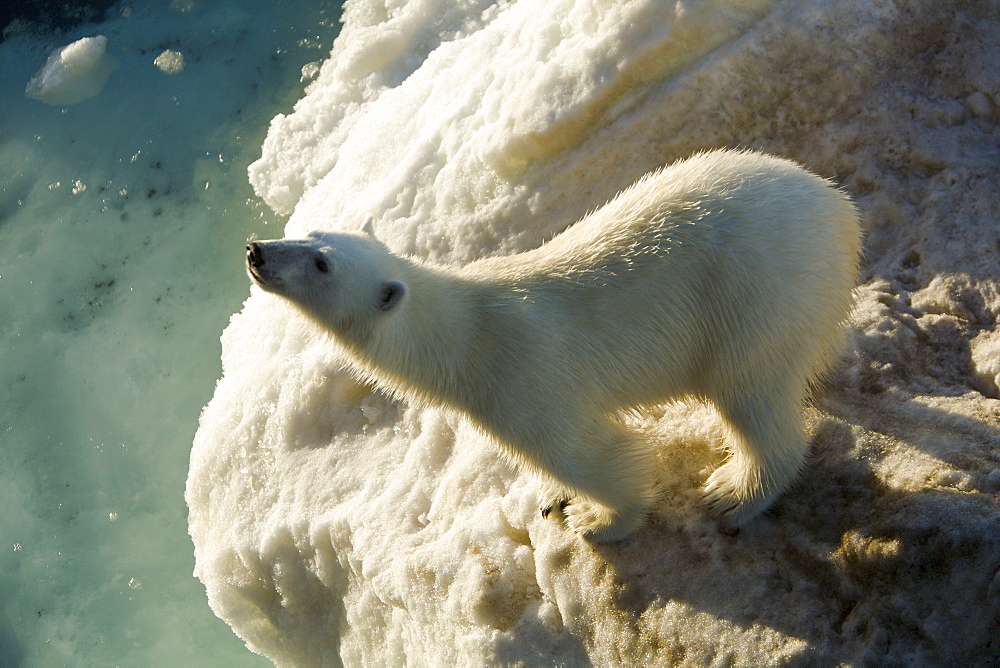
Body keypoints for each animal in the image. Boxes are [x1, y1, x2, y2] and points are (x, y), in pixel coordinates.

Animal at [244, 149, 860, 540]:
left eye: (321, 263)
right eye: (310, 232)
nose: (256, 251)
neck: (460, 338)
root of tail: (839, 210)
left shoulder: (521, 381)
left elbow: (592, 454)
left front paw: (595, 520)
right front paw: (552, 500)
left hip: (754, 297)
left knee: (752, 396)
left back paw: (734, 494)